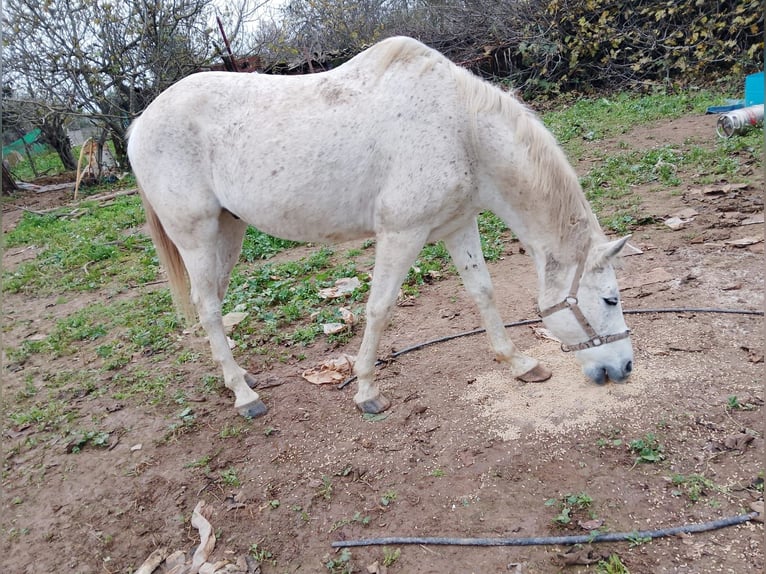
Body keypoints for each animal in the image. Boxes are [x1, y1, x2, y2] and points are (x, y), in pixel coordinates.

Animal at [129, 37, 636, 424]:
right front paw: (367, 391)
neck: (462, 130)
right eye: (610, 299)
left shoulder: (458, 225)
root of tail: (139, 124)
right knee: (210, 309)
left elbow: (482, 292)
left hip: (227, 230)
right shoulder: (401, 233)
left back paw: (240, 378)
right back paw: (246, 397)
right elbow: (379, 308)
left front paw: (519, 363)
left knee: (210, 301)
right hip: (195, 235)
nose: (626, 367)